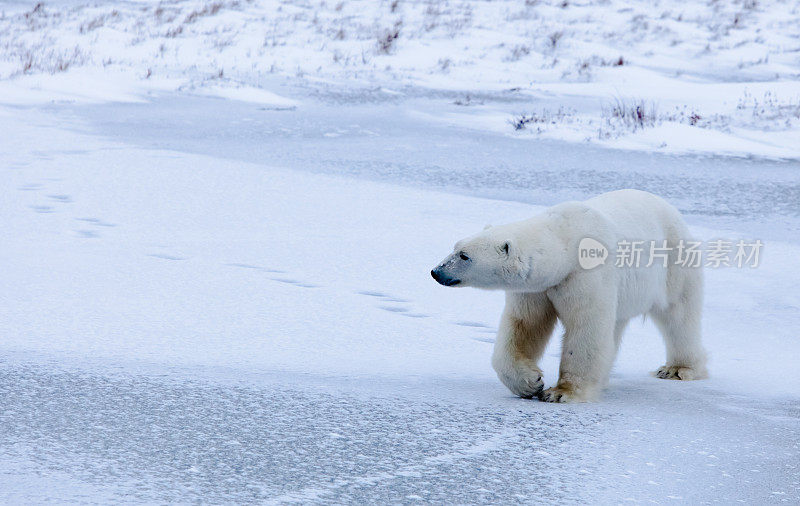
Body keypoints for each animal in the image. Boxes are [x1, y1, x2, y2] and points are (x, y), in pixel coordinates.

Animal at [432, 190, 708, 404]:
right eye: (455, 247)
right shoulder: (537, 288)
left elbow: (586, 329)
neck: (565, 242)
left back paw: (677, 369)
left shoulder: (585, 275)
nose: (436, 271)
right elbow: (523, 326)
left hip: (674, 264)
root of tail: (674, 212)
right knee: (615, 327)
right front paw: (530, 382)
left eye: (464, 256)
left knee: (679, 317)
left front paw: (560, 392)